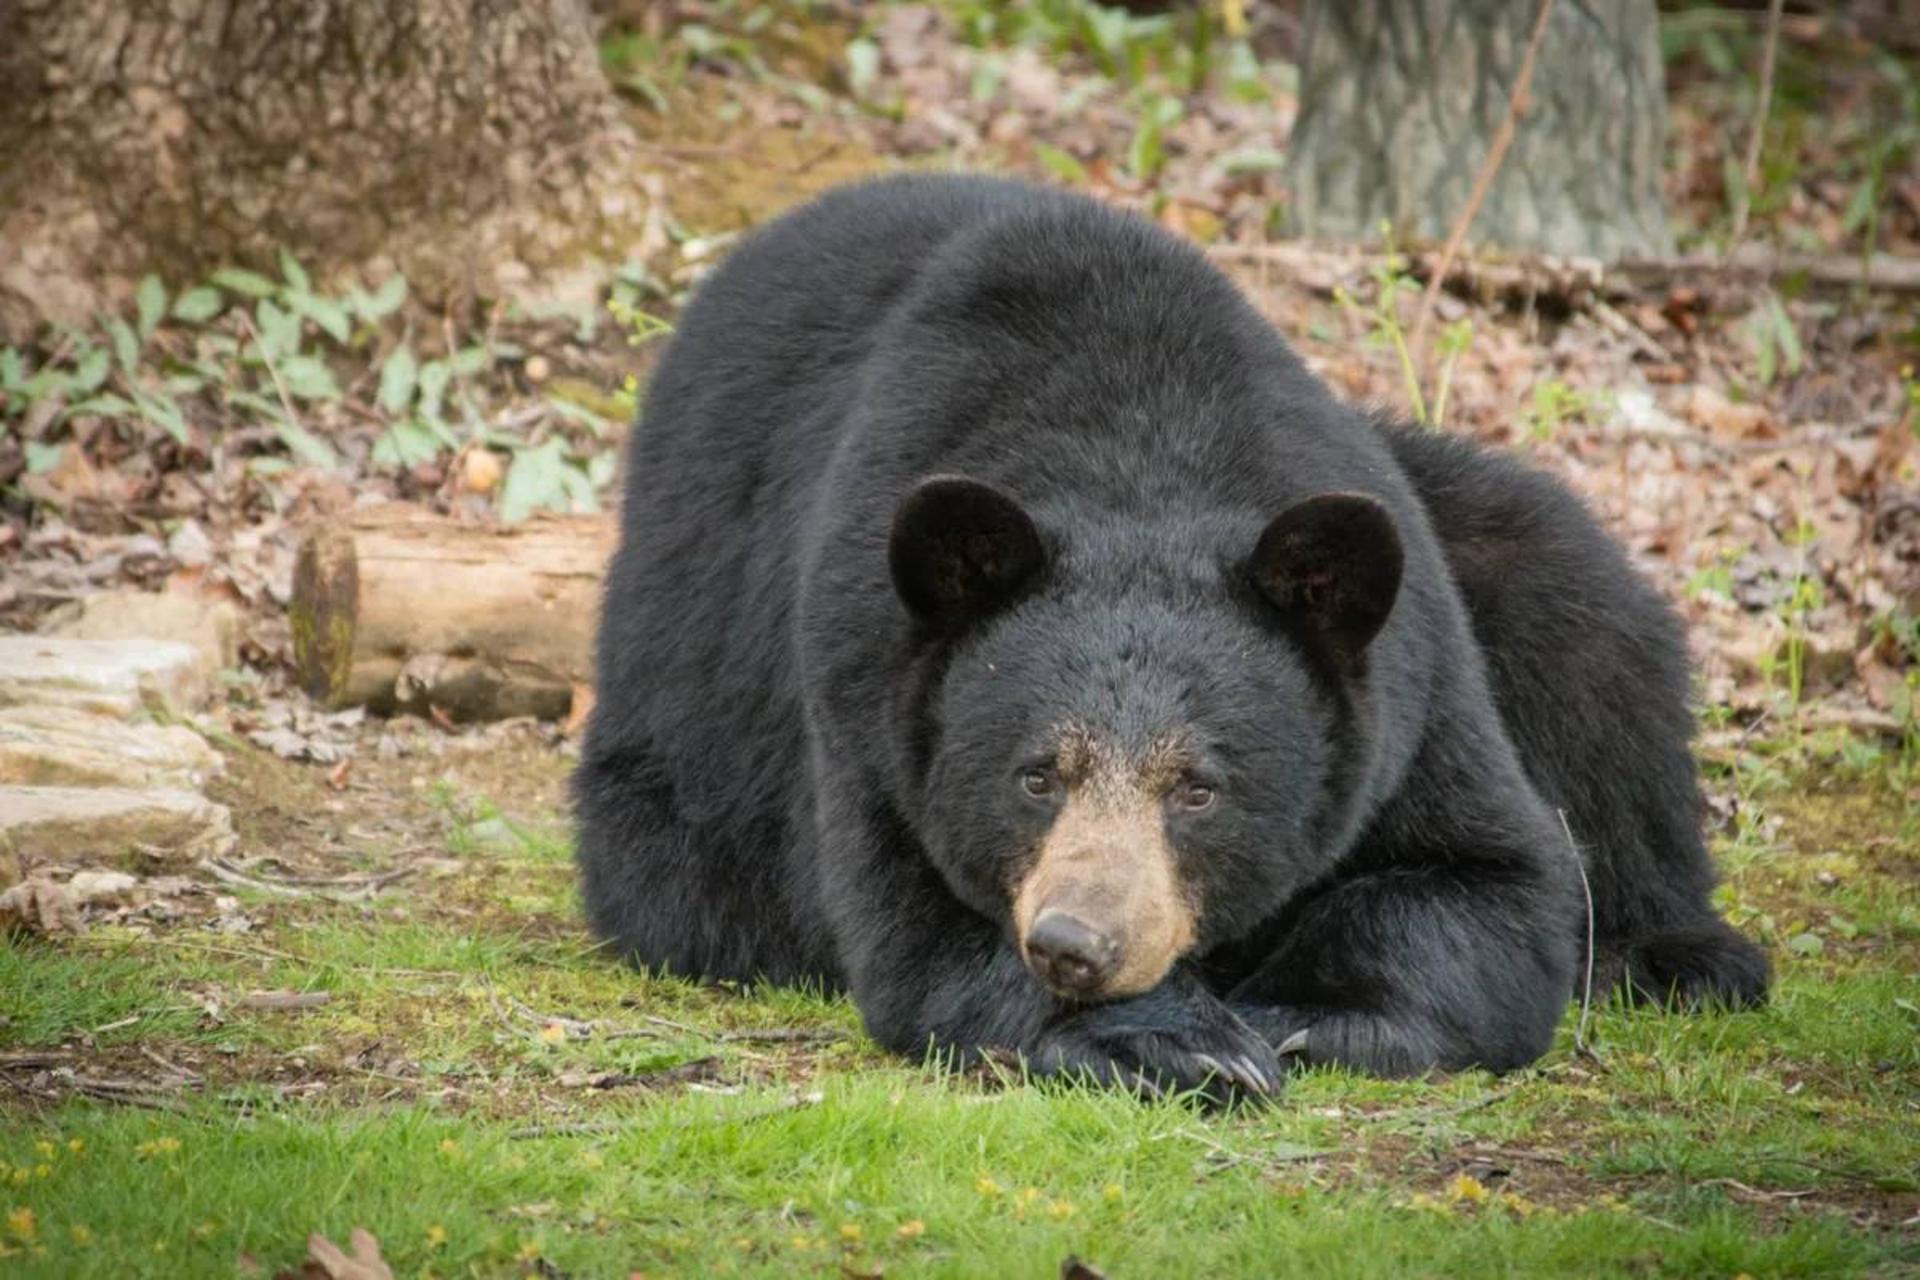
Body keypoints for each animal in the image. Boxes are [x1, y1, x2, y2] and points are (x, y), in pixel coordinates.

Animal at [572, 169, 1766, 1097]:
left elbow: (1498, 886)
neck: (1138, 457)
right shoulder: (867, 686)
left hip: (1481, 539)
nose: (1076, 944)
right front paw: (1180, 1041)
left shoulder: (1412, 683)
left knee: (1588, 626)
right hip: (686, 742)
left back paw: (1680, 953)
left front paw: (1305, 1013)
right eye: (1036, 775)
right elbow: (918, 932)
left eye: (1198, 785)